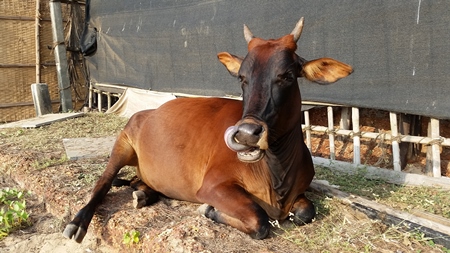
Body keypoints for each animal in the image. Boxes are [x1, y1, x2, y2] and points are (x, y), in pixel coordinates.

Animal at [63, 16, 354, 242]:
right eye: (242, 78)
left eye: (288, 76)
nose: (247, 134)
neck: (277, 174)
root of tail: (147, 112)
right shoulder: (213, 186)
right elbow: (259, 220)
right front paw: (211, 211)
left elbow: (306, 213)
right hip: (122, 144)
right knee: (103, 182)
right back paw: (78, 222)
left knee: (138, 181)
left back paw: (144, 193)